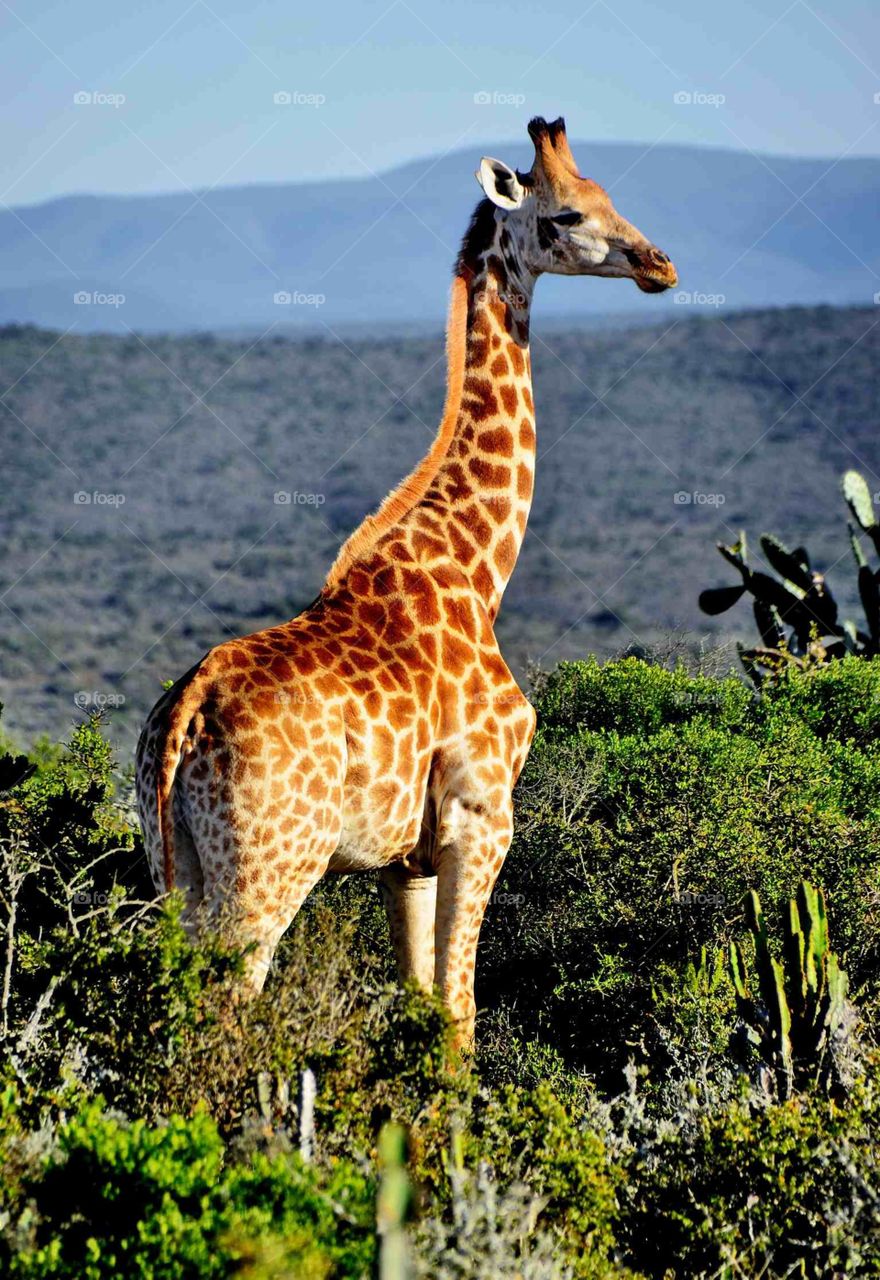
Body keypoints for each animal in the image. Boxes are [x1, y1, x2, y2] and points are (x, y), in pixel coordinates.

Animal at [135, 117, 677, 1047]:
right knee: (230, 1013)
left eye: (610, 194)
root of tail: (182, 719)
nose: (659, 264)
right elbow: (460, 1013)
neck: (476, 566)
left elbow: (419, 1004)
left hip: (169, 862)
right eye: (567, 214)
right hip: (268, 869)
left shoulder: (405, 861)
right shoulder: (482, 818)